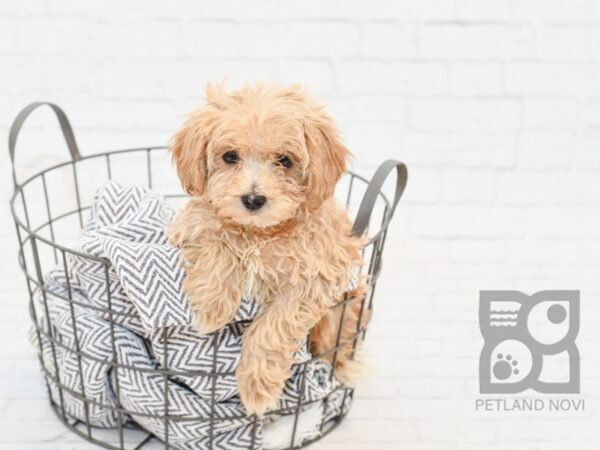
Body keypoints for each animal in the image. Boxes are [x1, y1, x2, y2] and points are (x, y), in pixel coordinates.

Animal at [166, 81, 368, 414]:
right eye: (230, 156)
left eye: (284, 160)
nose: (252, 199)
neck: (259, 233)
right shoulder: (193, 222)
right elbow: (216, 238)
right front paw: (212, 307)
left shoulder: (316, 277)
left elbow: (273, 328)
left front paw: (257, 387)